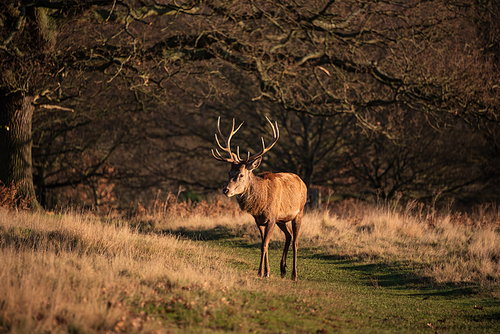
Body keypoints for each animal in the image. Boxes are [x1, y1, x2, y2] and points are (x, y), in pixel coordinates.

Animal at [212, 116, 306, 280]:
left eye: (241, 175)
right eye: (229, 173)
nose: (225, 190)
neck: (260, 203)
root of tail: (303, 182)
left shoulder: (272, 217)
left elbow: (265, 244)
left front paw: (261, 272)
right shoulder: (259, 219)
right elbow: (263, 243)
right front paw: (265, 272)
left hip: (299, 212)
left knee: (295, 241)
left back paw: (294, 275)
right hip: (282, 219)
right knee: (288, 236)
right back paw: (283, 270)